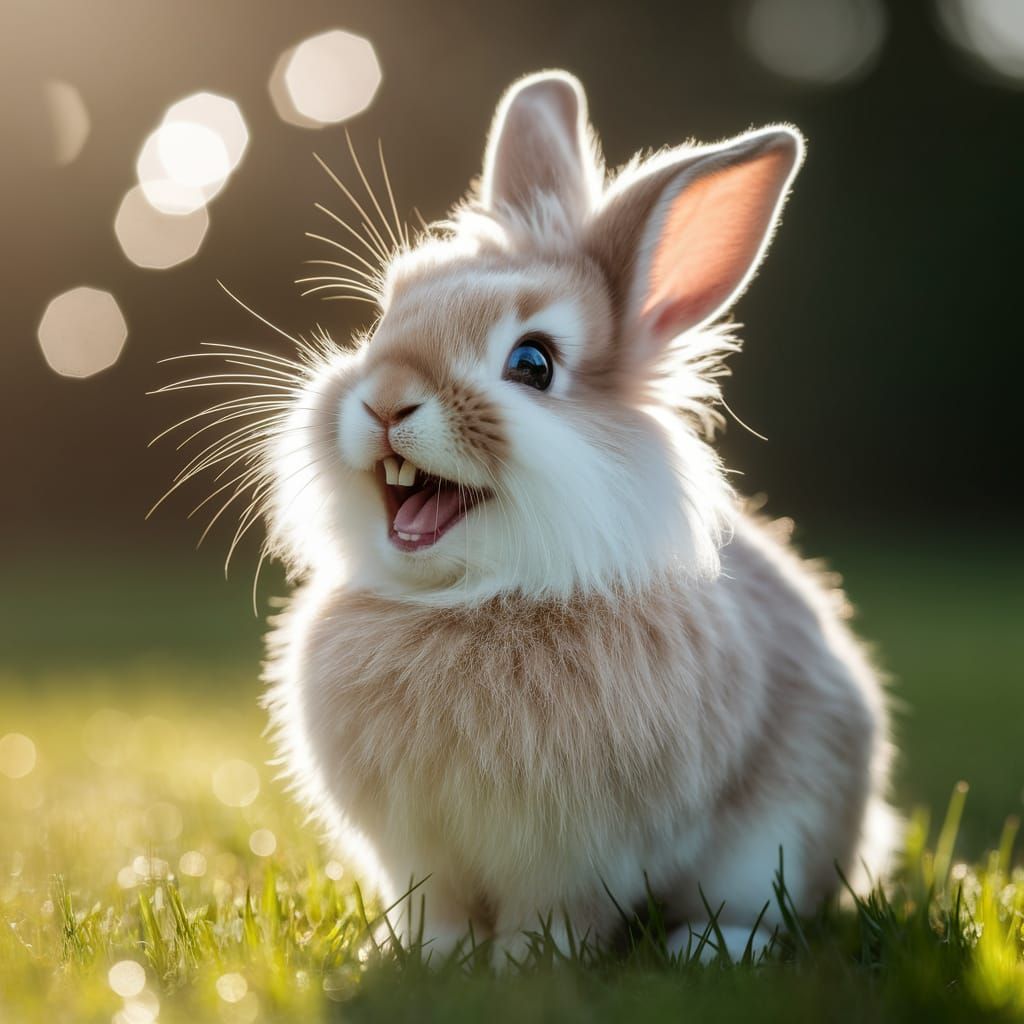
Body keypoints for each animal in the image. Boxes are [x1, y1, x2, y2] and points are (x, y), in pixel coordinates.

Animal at [258, 70, 897, 964]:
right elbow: (436, 910)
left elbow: (558, 917)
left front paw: (525, 968)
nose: (384, 400)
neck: (468, 599)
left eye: (533, 363)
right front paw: (422, 957)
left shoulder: (577, 857)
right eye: (386, 318)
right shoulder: (420, 854)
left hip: (779, 840)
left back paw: (709, 949)